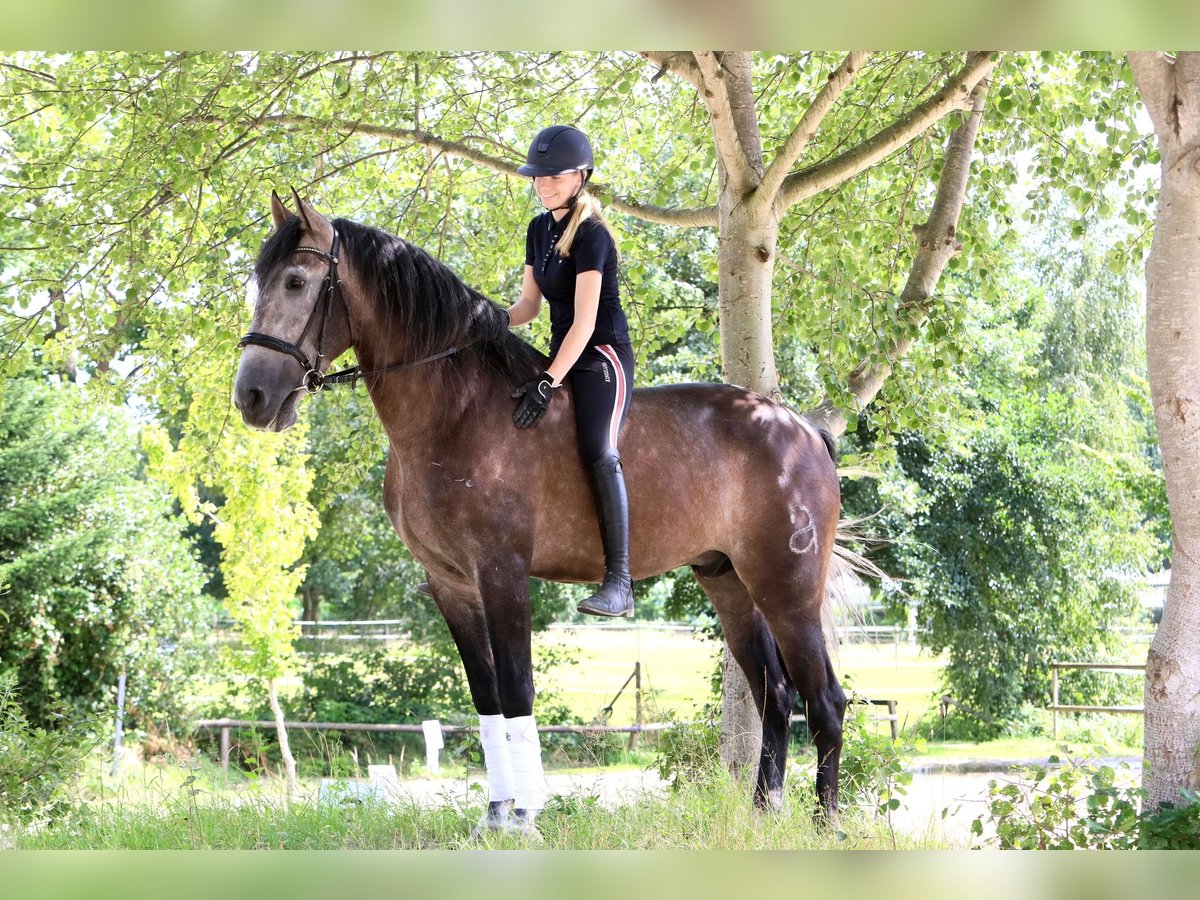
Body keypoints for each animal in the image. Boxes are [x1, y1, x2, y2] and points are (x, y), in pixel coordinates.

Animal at [233, 191, 847, 832]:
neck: (457, 412)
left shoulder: (502, 573)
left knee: (825, 700)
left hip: (787, 589)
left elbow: (517, 691)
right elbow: (486, 698)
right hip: (729, 581)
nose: (251, 397)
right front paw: (496, 814)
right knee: (774, 694)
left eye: (297, 282)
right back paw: (762, 814)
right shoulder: (452, 583)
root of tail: (802, 429)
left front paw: (525, 815)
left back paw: (825, 823)